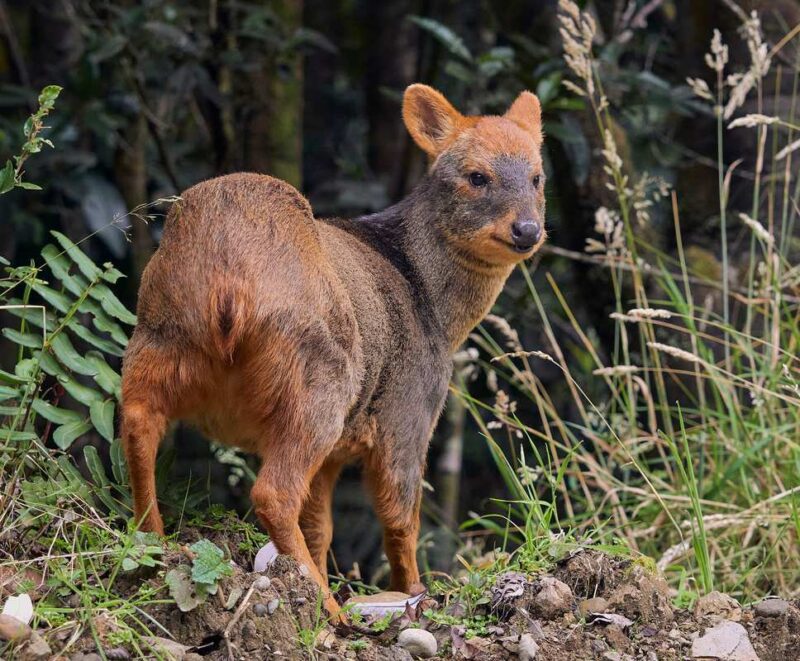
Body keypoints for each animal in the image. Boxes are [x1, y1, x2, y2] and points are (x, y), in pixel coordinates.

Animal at [120, 84, 546, 617]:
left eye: (538, 176)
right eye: (477, 176)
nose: (528, 230)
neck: (435, 306)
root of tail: (228, 273)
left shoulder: (336, 452)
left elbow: (321, 526)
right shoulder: (408, 412)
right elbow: (400, 520)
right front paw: (414, 592)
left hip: (158, 335)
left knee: (138, 423)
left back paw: (152, 543)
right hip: (318, 378)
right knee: (273, 492)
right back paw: (330, 609)